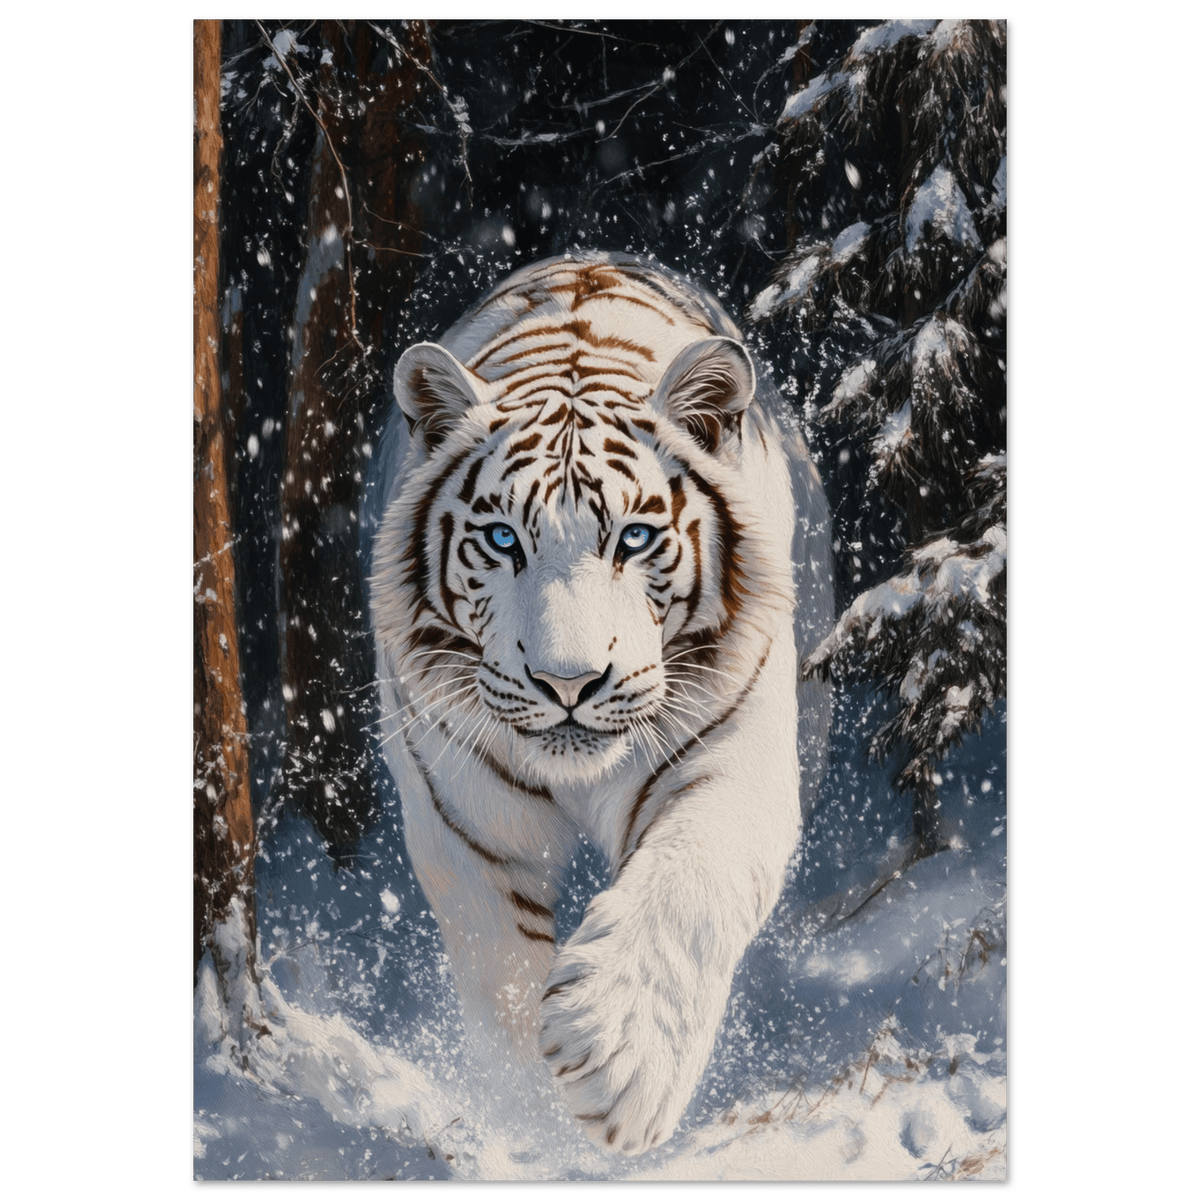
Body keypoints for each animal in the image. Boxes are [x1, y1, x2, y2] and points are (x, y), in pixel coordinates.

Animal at [370, 252, 832, 1156]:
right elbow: (498, 973)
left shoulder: (734, 763)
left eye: (636, 538)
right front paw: (535, 1121)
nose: (568, 683)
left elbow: (690, 887)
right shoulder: (463, 819)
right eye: (503, 540)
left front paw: (618, 1060)